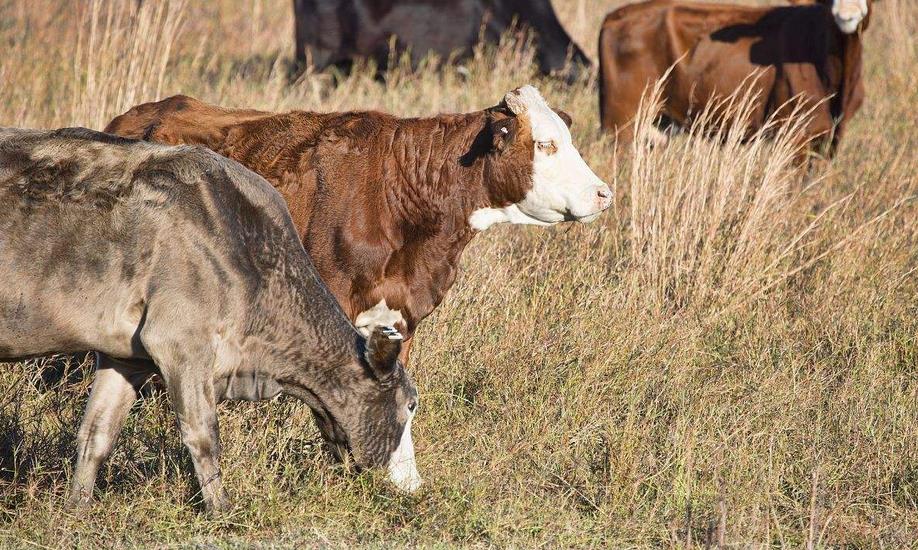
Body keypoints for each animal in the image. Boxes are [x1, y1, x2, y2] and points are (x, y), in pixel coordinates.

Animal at [0, 128, 422, 512]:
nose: (414, 486)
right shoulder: (181, 342)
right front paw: (222, 511)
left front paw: (77, 511)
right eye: (411, 405)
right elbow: (203, 435)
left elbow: (96, 435)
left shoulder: (126, 357)